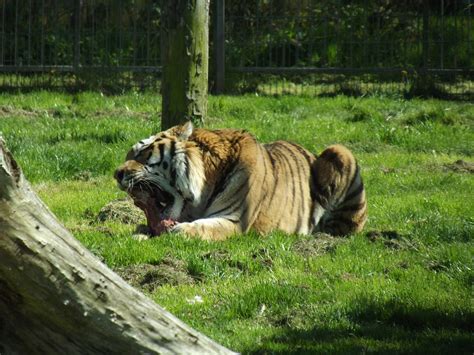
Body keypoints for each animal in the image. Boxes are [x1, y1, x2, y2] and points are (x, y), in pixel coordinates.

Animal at [115, 122, 366, 242]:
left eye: (143, 153)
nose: (116, 173)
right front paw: (140, 233)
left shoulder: (235, 220)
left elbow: (202, 227)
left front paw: (180, 231)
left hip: (339, 151)